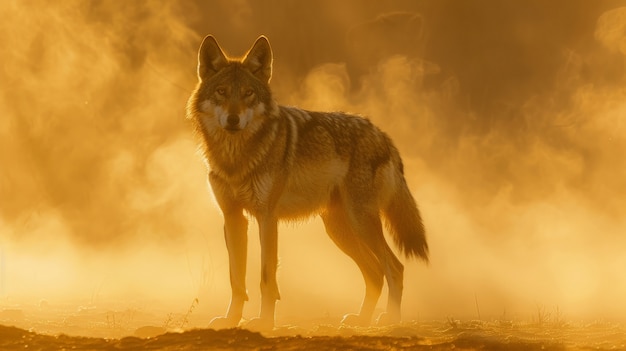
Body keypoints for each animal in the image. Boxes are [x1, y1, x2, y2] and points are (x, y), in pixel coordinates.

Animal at [185, 34, 426, 332]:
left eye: (248, 94)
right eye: (221, 91)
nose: (233, 119)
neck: (236, 158)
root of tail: (382, 134)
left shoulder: (267, 217)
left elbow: (266, 278)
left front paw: (265, 322)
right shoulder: (233, 218)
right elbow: (236, 280)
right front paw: (230, 320)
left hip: (361, 222)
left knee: (395, 268)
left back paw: (391, 319)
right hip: (339, 230)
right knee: (375, 272)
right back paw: (361, 320)